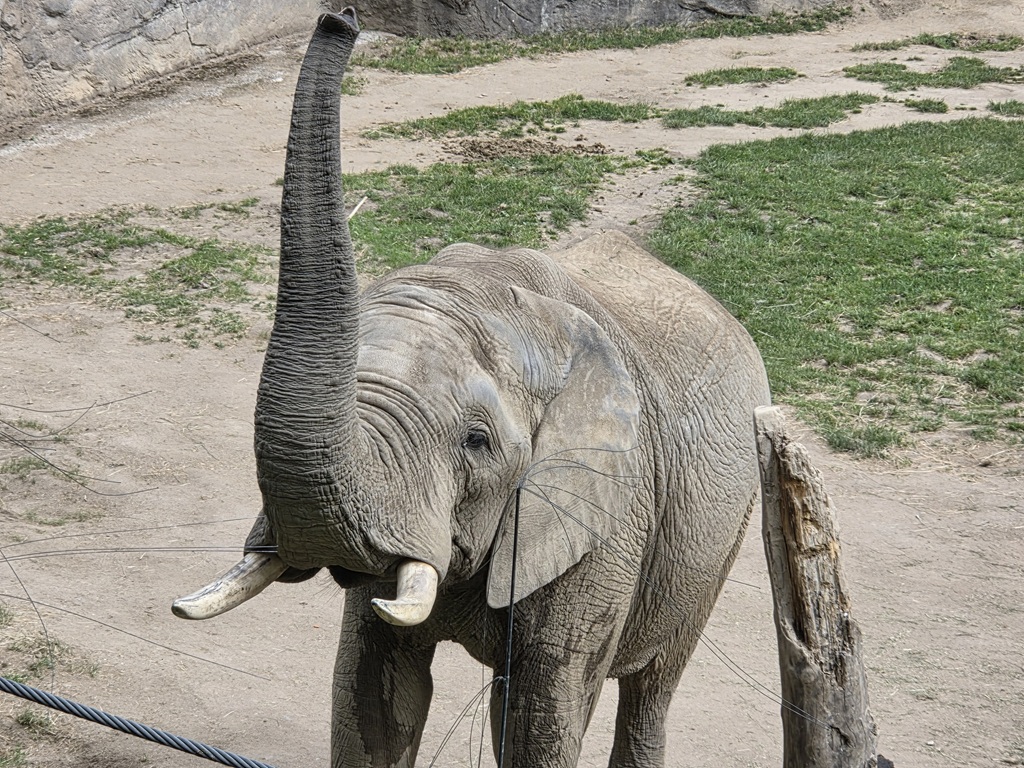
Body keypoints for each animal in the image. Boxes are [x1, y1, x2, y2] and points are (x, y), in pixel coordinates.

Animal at [173, 8, 771, 768]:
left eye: (477, 442)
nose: (341, 18)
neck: (498, 294)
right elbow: (374, 692)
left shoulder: (607, 512)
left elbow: (543, 710)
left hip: (721, 526)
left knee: (649, 687)